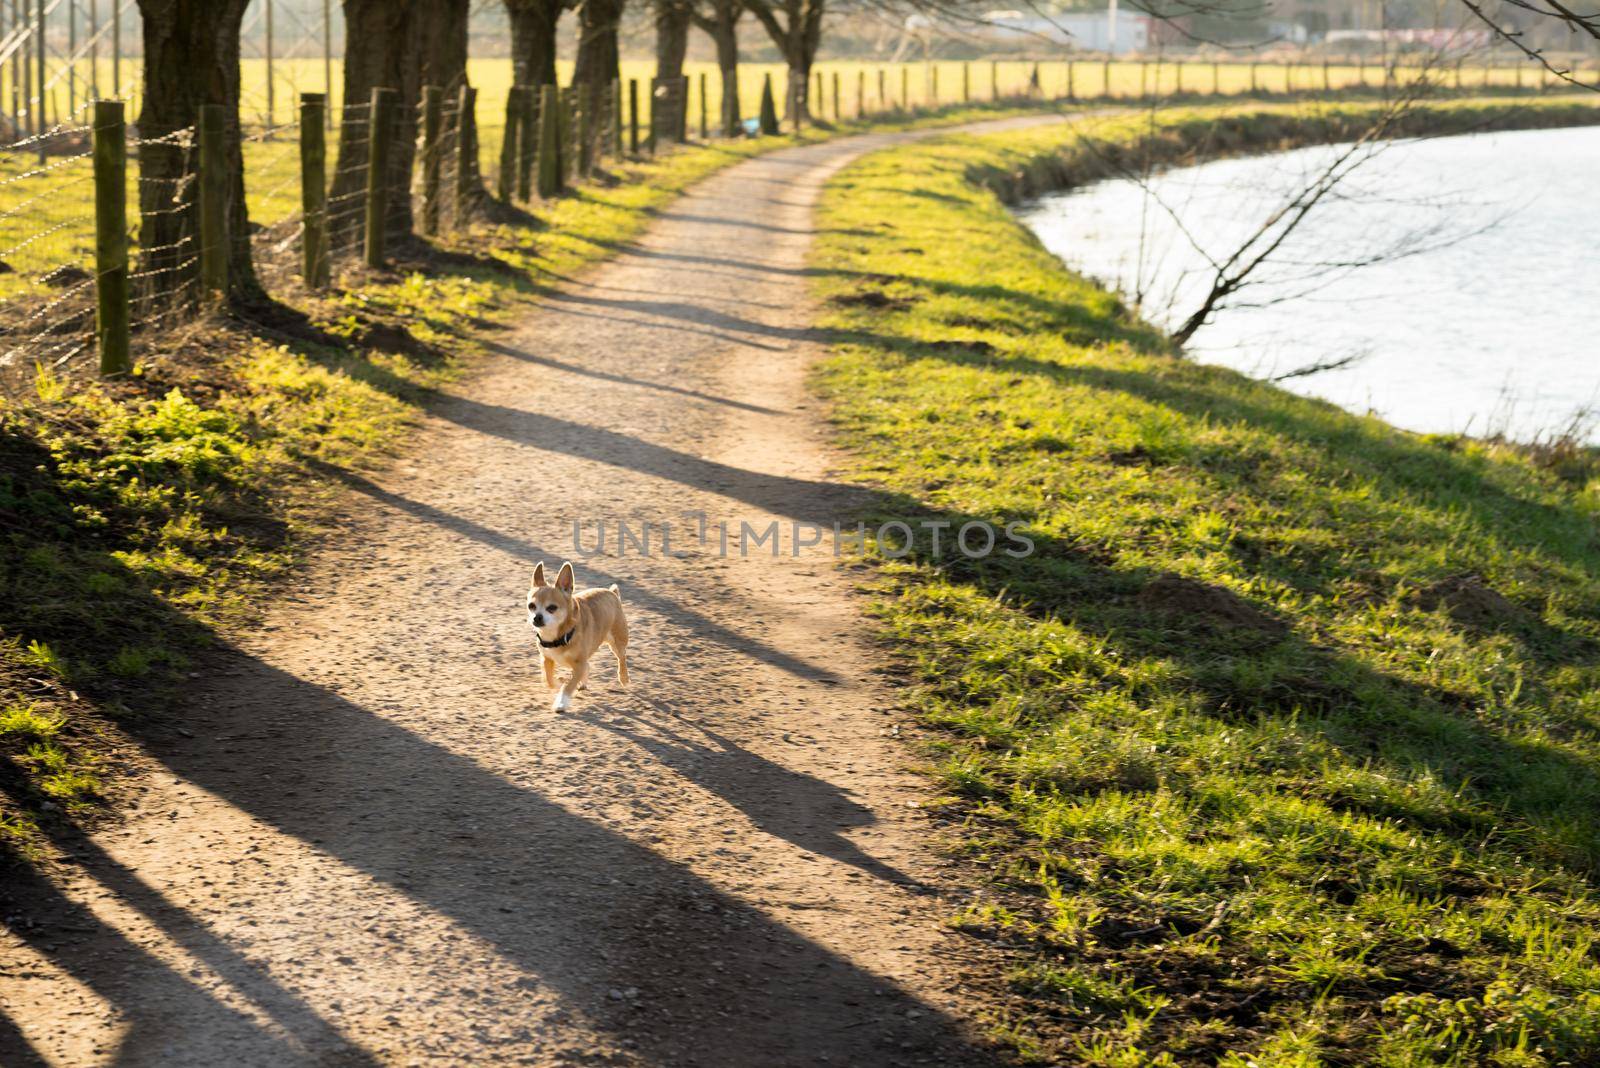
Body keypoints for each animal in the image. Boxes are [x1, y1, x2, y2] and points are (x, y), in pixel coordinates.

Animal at [524, 559, 624, 709]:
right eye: (531, 606)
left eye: (552, 608)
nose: (537, 617)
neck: (557, 637)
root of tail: (612, 593)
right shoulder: (547, 658)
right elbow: (548, 679)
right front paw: (558, 683)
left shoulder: (578, 665)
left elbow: (569, 686)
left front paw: (561, 702)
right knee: (588, 667)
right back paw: (583, 684)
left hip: (617, 643)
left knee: (621, 658)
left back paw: (624, 678)